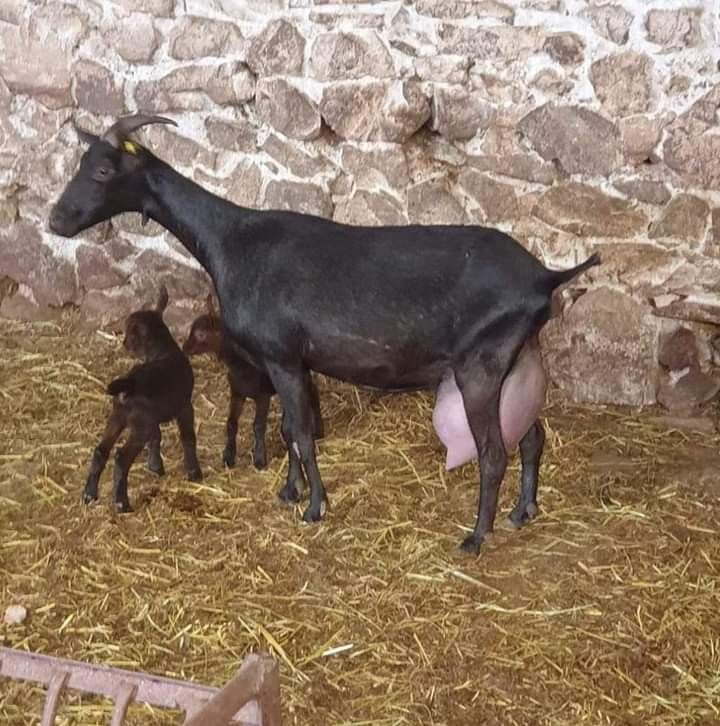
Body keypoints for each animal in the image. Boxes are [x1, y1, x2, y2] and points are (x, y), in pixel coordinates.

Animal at [183, 296, 324, 472]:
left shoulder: (262, 395)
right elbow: (231, 423)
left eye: (201, 334)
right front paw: (228, 456)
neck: (241, 365)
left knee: (313, 391)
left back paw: (318, 430)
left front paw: (259, 459)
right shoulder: (237, 392)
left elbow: (258, 425)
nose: (184, 347)